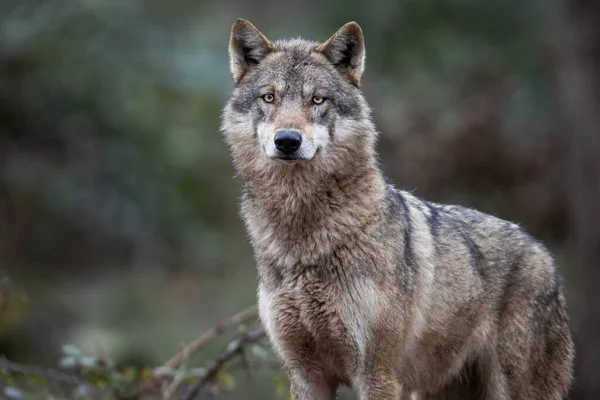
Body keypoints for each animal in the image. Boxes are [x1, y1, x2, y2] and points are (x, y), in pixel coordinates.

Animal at [221, 19, 576, 400]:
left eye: (317, 99)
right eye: (268, 97)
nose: (287, 140)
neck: (304, 240)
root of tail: (546, 256)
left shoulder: (376, 374)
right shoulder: (305, 377)